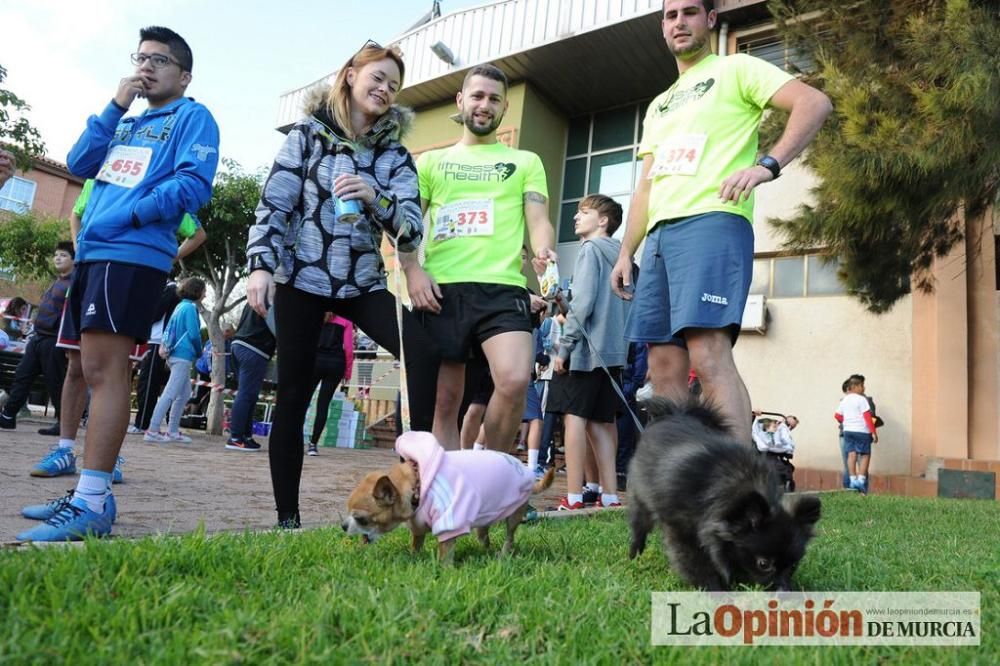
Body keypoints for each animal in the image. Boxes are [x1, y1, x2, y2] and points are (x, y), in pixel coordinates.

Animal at [342, 430, 556, 560]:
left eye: (361, 520)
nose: (343, 526)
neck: (418, 483)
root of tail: (526, 472)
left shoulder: (449, 520)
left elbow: (445, 549)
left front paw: (443, 570)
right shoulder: (418, 524)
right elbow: (416, 543)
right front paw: (414, 557)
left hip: (513, 516)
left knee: (509, 537)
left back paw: (503, 554)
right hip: (485, 519)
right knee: (484, 535)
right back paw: (486, 550)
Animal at [632, 396, 820, 588]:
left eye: (793, 565)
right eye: (763, 564)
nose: (785, 590)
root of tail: (676, 413)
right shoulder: (683, 532)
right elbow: (696, 564)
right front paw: (714, 588)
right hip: (641, 502)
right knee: (639, 529)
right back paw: (634, 557)